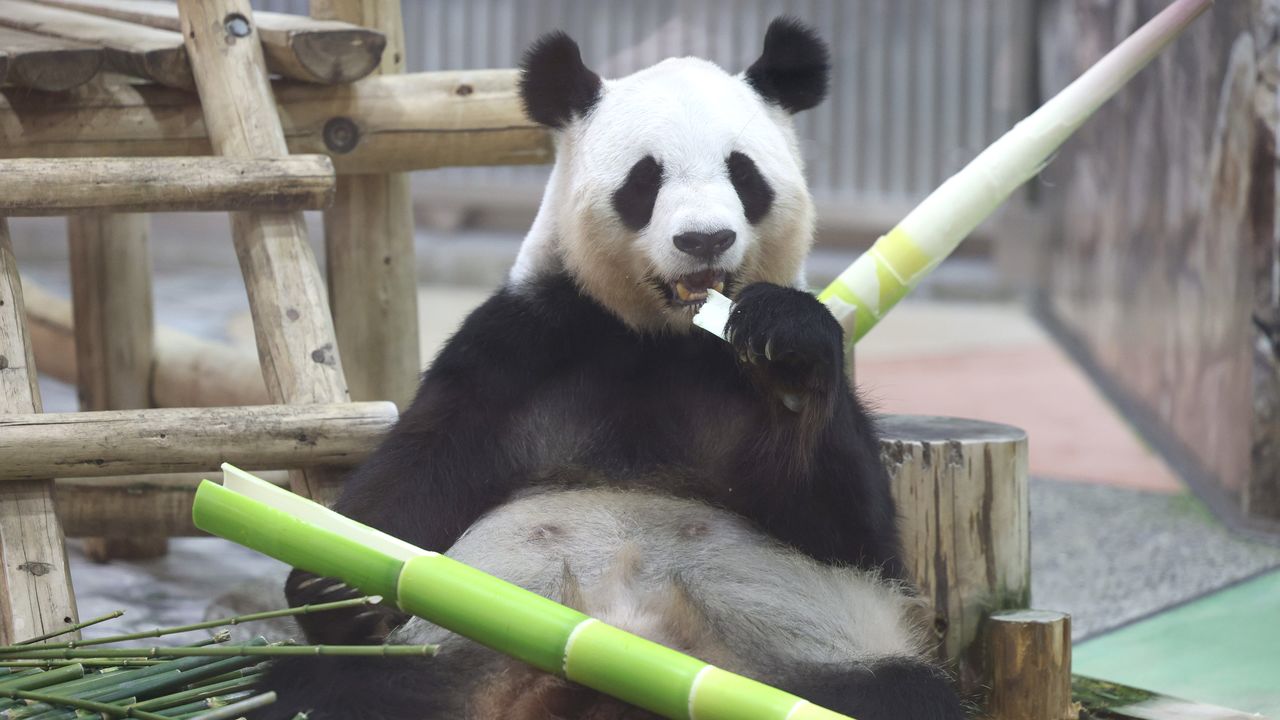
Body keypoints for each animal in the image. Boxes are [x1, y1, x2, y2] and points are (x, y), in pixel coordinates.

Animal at [258, 17, 965, 720]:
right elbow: (410, 480)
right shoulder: (524, 344)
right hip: (443, 655)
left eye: (743, 174)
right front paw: (336, 587)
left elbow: (854, 533)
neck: (663, 338)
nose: (703, 239)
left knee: (900, 691)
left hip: (808, 666)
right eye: (645, 179)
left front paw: (786, 359)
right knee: (318, 680)